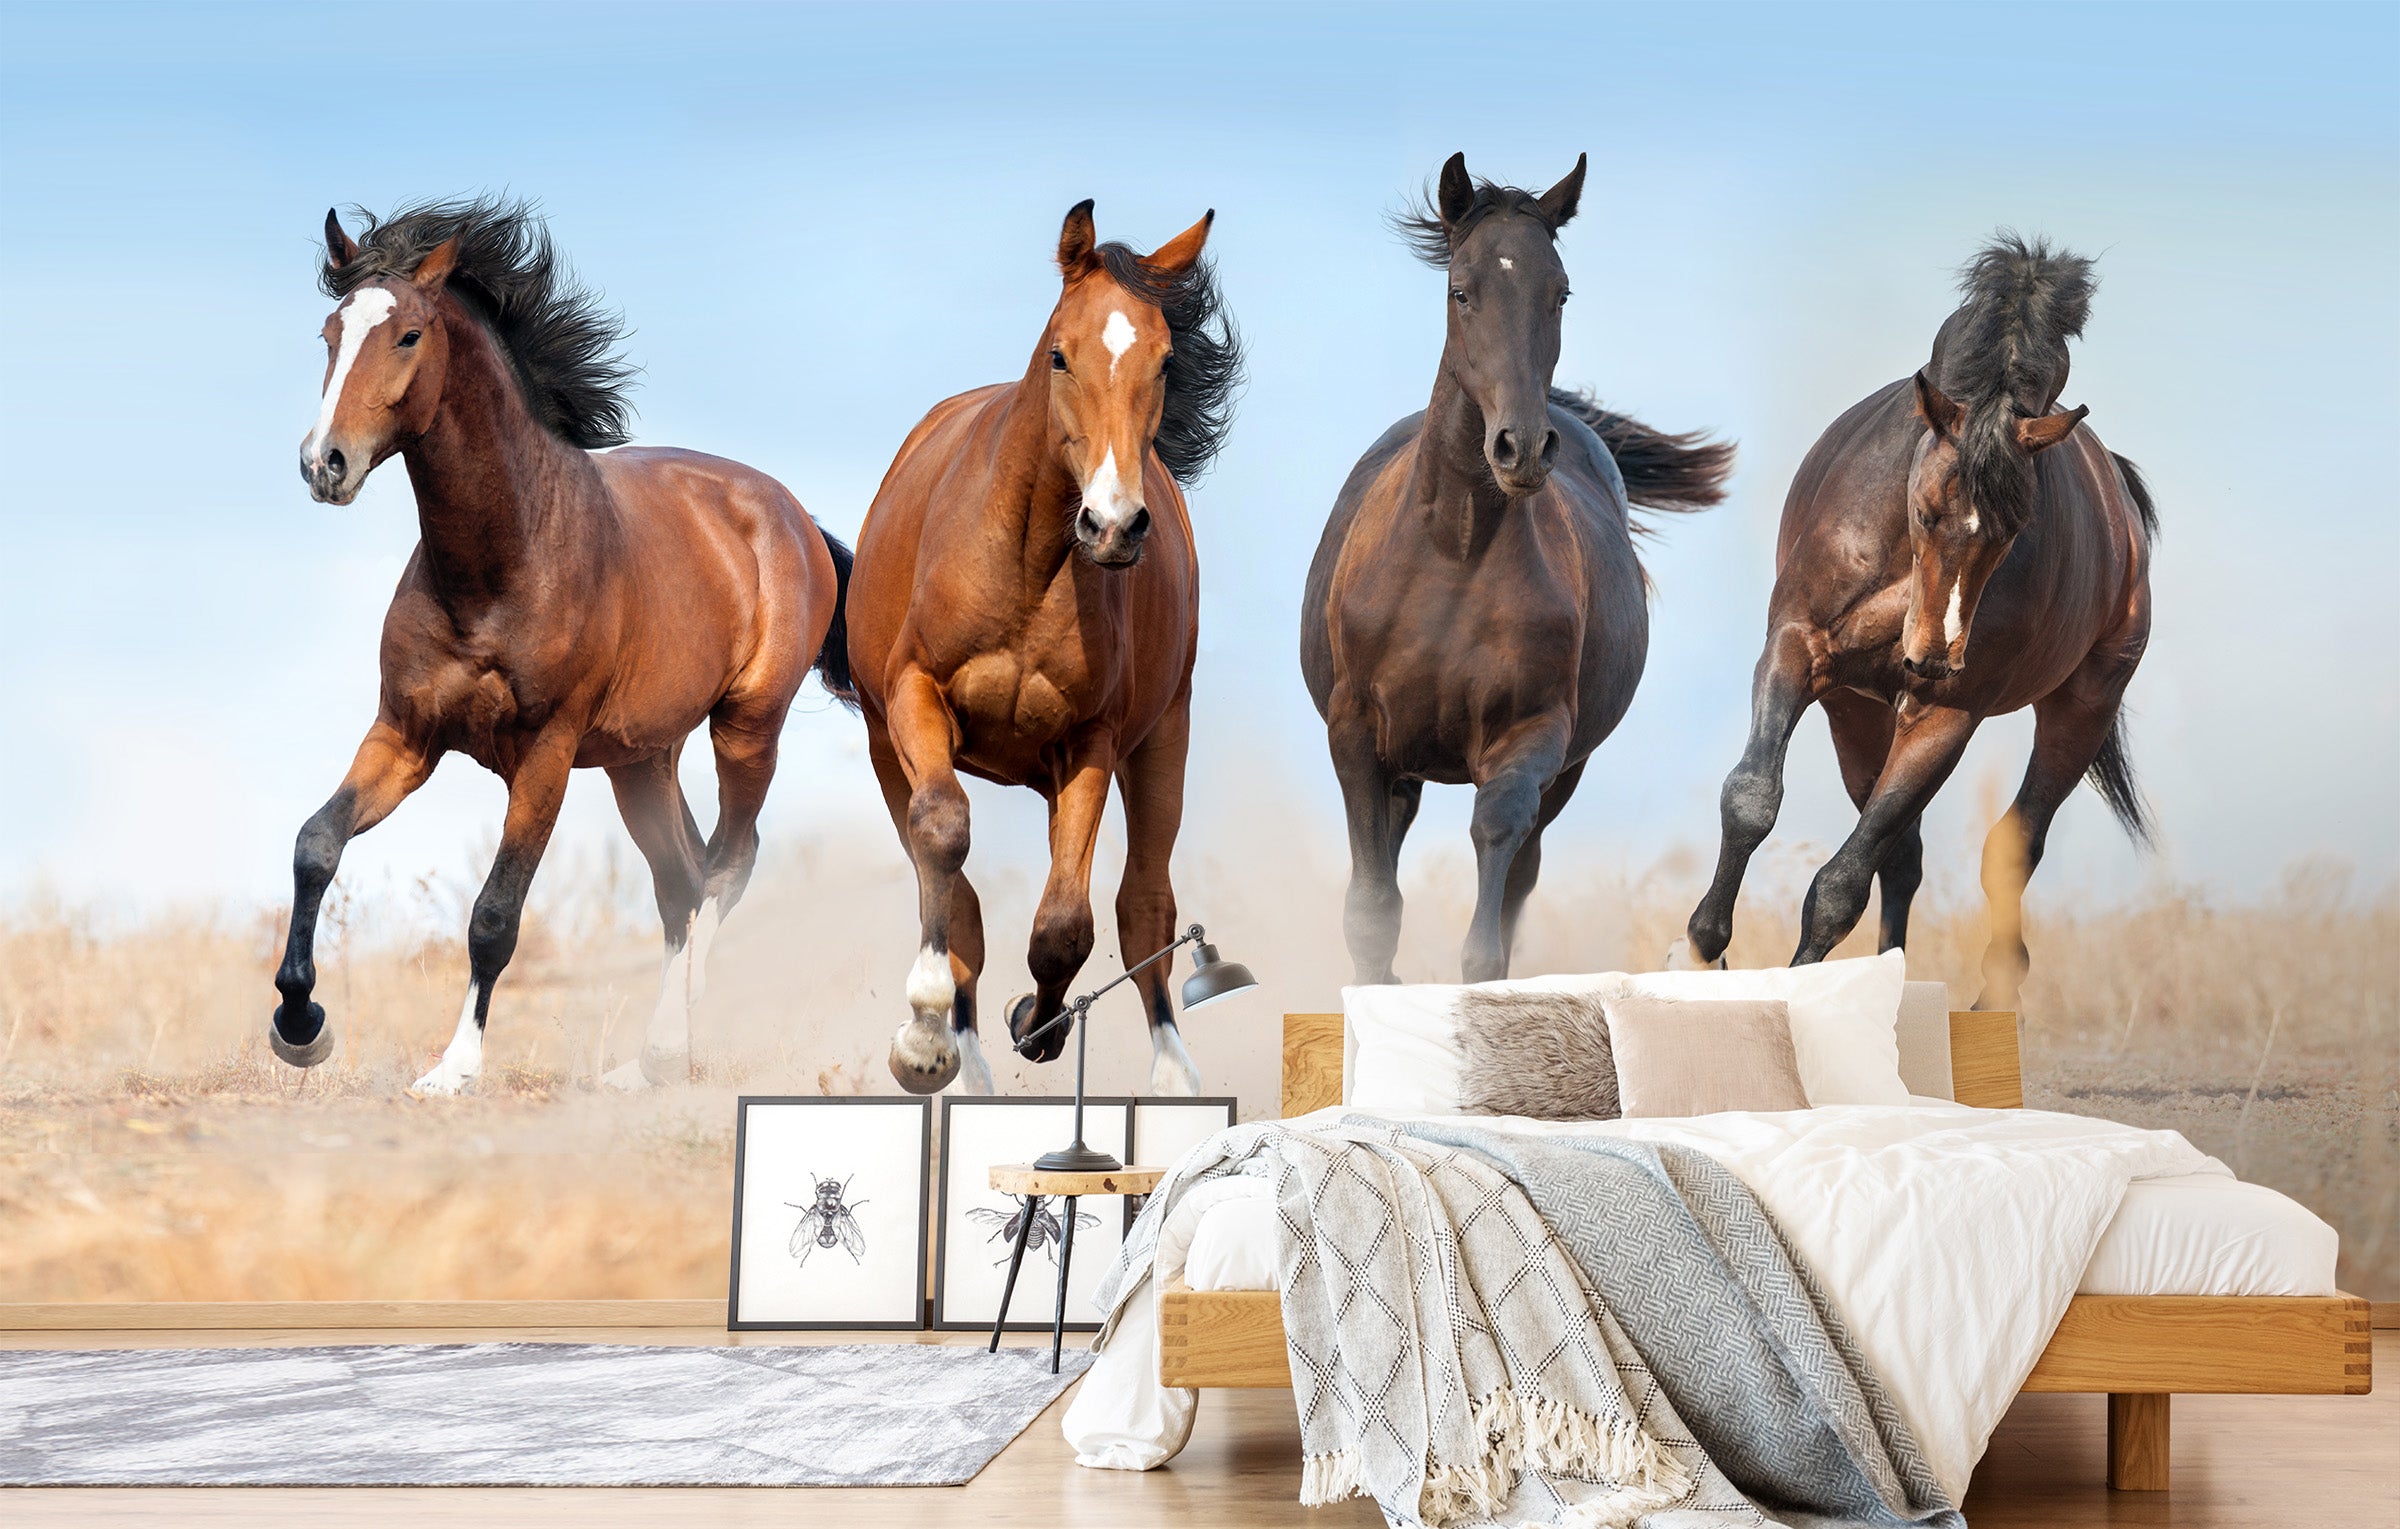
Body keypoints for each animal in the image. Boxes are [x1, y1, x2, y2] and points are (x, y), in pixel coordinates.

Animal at [272, 197, 855, 1095]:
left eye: (408, 335)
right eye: (329, 333)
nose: (323, 464)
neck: (503, 561)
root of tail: (793, 515)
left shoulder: (544, 755)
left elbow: (494, 914)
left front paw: (454, 1068)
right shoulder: (405, 734)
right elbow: (315, 844)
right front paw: (301, 1025)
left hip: (747, 727)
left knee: (728, 864)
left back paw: (669, 1048)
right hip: (640, 759)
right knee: (682, 880)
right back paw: (643, 1065)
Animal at [848, 200, 1241, 1096]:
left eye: (1165, 361)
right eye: (1062, 353)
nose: (1114, 525)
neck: (1026, 567)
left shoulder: (1091, 739)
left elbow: (1068, 920)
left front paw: (1040, 1018)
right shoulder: (915, 698)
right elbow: (944, 838)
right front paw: (925, 1035)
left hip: (1163, 736)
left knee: (1144, 903)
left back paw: (1169, 1069)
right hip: (887, 743)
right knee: (952, 885)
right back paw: (960, 1052)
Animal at [1301, 153, 1733, 985]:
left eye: (1558, 290)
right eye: (1460, 289)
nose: (1522, 448)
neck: (1454, 553)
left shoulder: (1533, 738)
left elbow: (1492, 899)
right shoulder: (1357, 733)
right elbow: (1371, 912)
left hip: (1565, 772)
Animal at [1682, 232, 2156, 1008]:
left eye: (2014, 529)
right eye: (1928, 510)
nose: (1933, 656)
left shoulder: (1944, 715)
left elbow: (1840, 885)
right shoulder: (1796, 650)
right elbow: (1751, 797)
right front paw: (1699, 952)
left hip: (2082, 706)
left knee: (2009, 844)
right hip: (1857, 710)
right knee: (1903, 853)